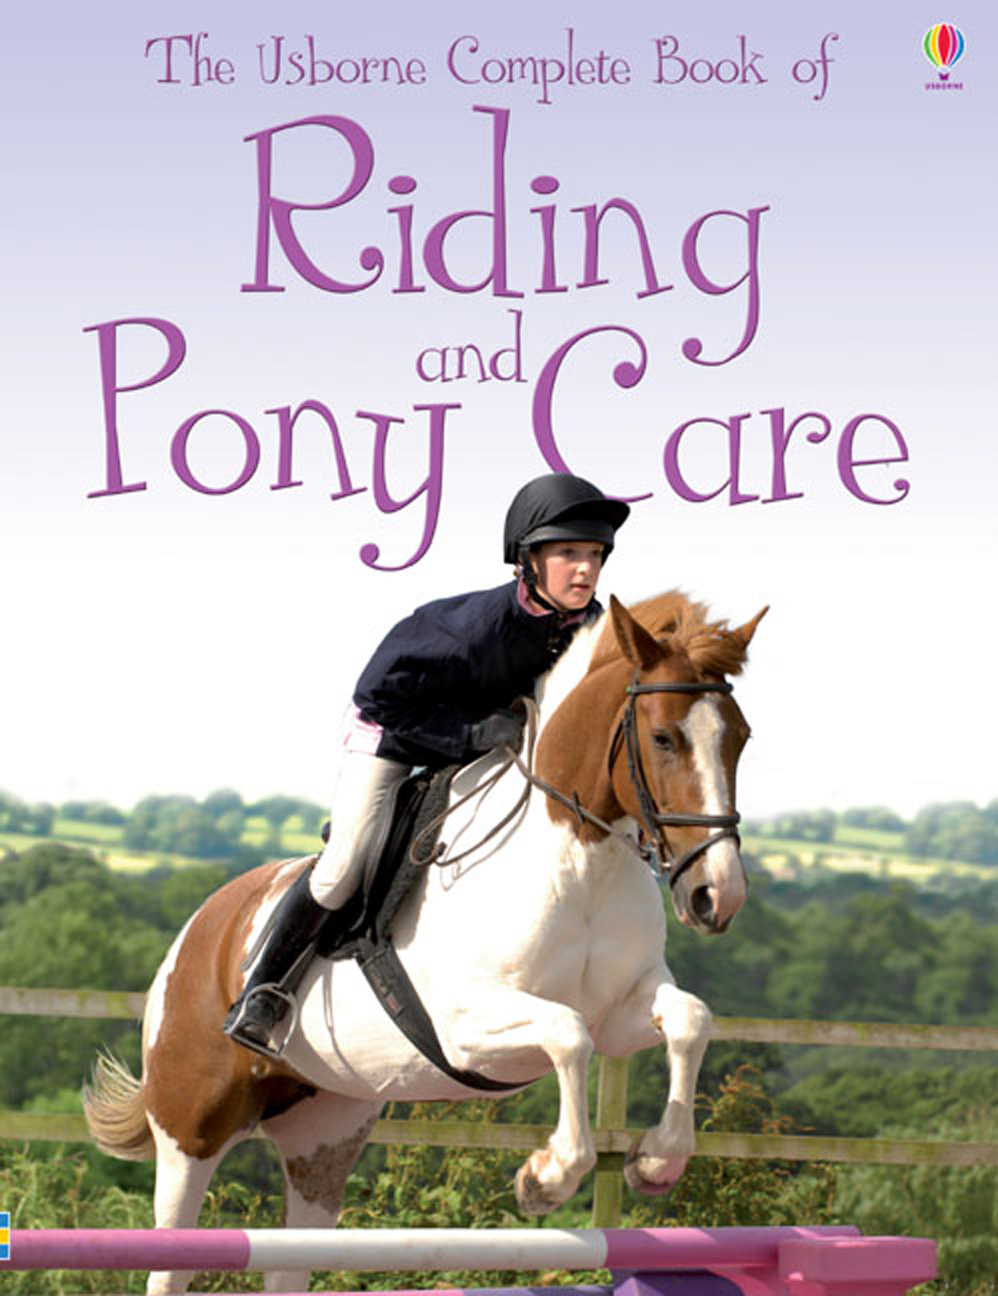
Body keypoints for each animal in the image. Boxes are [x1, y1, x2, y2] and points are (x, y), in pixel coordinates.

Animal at [83, 591, 766, 1295]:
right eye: (662, 738)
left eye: (740, 739)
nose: (719, 895)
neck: (579, 857)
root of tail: (197, 929)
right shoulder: (465, 1027)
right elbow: (568, 1033)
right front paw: (545, 1179)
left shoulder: (624, 1012)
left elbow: (688, 1019)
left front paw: (656, 1161)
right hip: (190, 1130)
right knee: (171, 1258)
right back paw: (254, 1015)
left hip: (324, 1133)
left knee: (292, 1253)